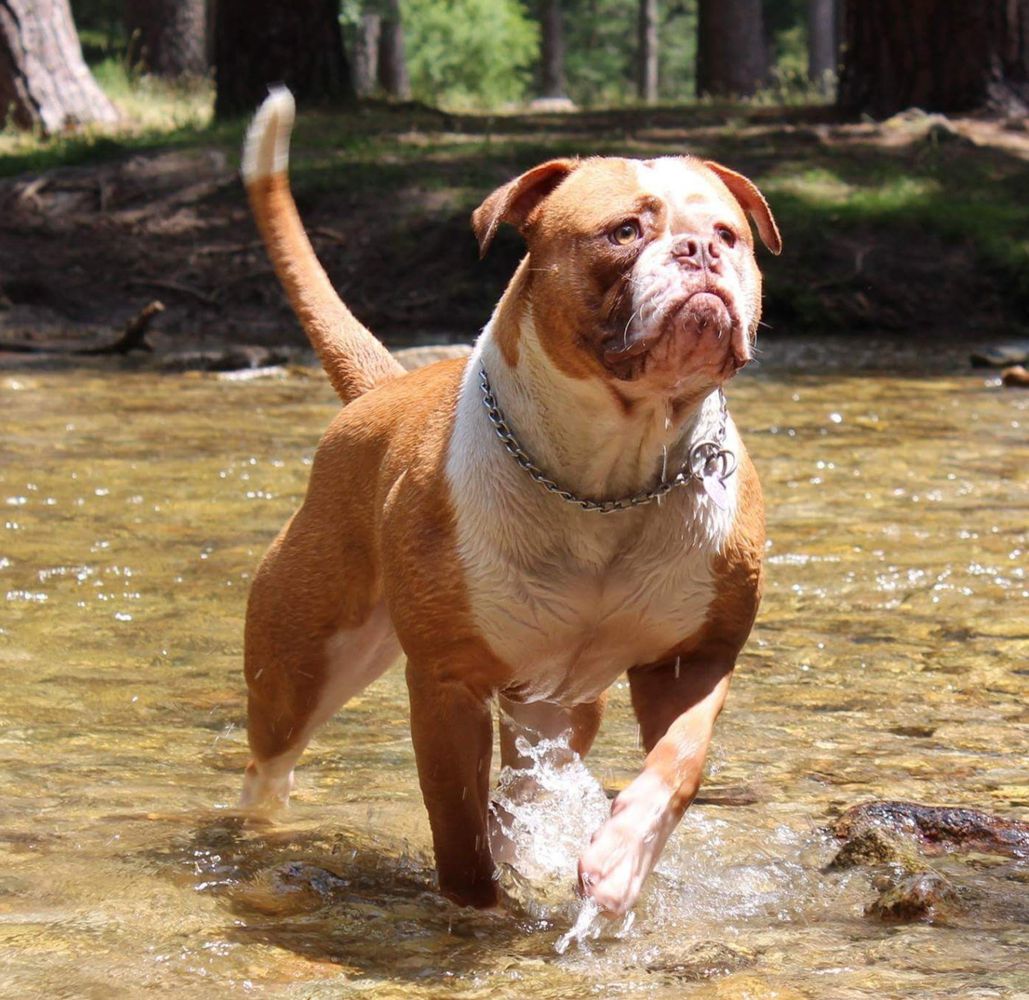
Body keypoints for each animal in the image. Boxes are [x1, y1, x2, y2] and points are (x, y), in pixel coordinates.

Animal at [238, 90, 777, 917]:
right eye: (624, 231)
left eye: (727, 234)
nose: (698, 252)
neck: (609, 475)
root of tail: (381, 389)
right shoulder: (447, 685)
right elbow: (456, 826)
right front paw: (478, 909)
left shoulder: (692, 660)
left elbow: (677, 765)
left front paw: (619, 858)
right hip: (300, 665)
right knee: (270, 763)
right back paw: (260, 834)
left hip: (558, 704)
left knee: (531, 773)